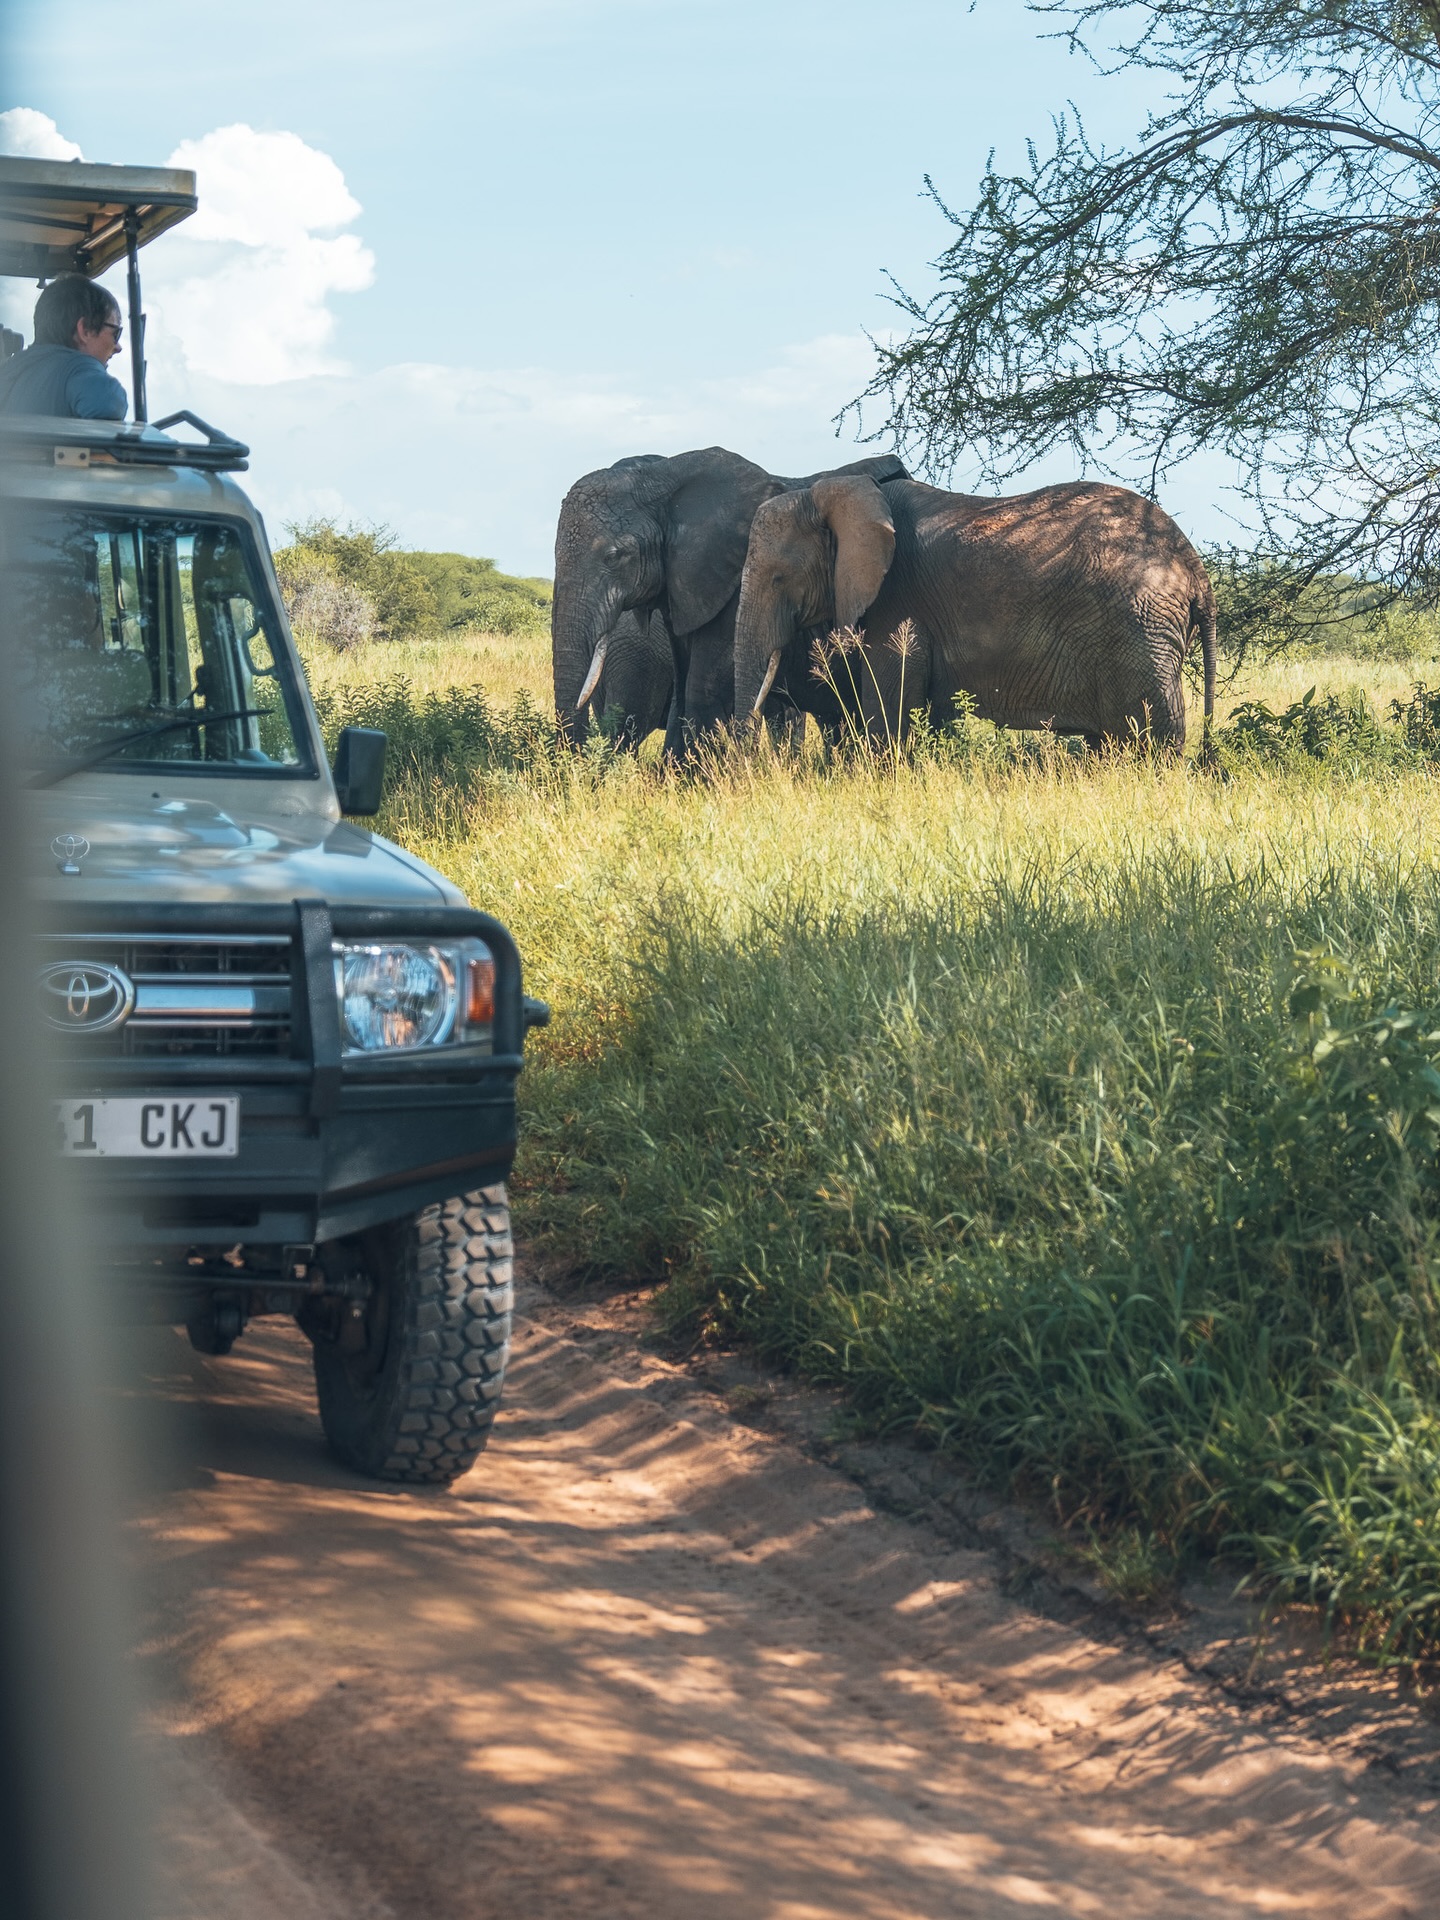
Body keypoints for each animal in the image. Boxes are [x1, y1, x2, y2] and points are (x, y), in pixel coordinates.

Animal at [733, 475, 1217, 755]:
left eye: (778, 579)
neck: (832, 494)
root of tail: (1195, 568)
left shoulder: (898, 603)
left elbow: (889, 713)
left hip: (1140, 630)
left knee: (1153, 732)